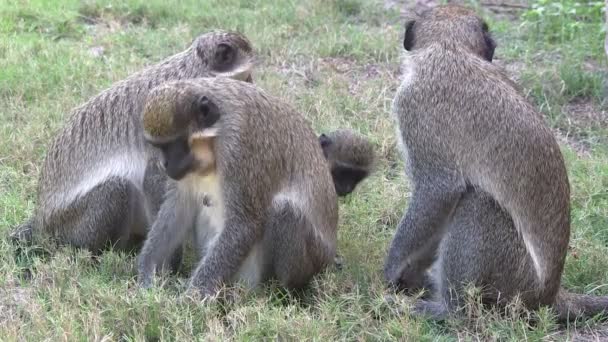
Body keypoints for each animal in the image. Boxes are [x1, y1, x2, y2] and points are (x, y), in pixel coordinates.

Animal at [12, 29, 254, 255]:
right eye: (247, 78)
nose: (253, 90)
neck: (196, 73)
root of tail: (41, 220)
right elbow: (153, 180)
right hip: (69, 226)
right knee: (115, 189)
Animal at [135, 77, 340, 294]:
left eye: (171, 145)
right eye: (158, 147)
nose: (164, 164)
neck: (215, 137)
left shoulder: (241, 146)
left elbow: (244, 224)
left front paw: (192, 297)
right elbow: (178, 206)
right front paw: (146, 270)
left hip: (312, 258)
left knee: (284, 210)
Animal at [384, 4, 608, 320]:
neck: (450, 47)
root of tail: (549, 295)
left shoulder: (414, 104)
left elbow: (438, 190)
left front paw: (392, 269)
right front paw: (411, 275)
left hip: (514, 281)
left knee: (476, 201)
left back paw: (451, 312)